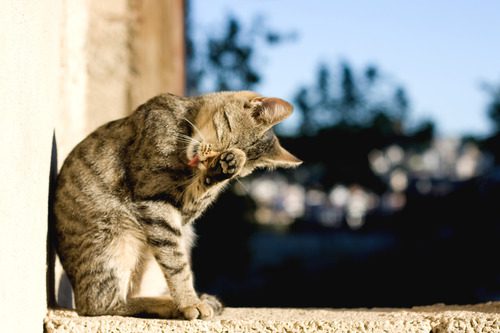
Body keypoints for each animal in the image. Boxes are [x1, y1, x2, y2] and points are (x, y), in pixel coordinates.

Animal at [56, 89, 302, 318]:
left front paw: (221, 171)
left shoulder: (181, 210)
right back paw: (170, 305)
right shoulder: (153, 198)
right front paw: (190, 302)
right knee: (100, 304)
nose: (209, 162)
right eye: (227, 140)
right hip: (114, 239)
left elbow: (198, 197)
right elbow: (176, 264)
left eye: (239, 175)